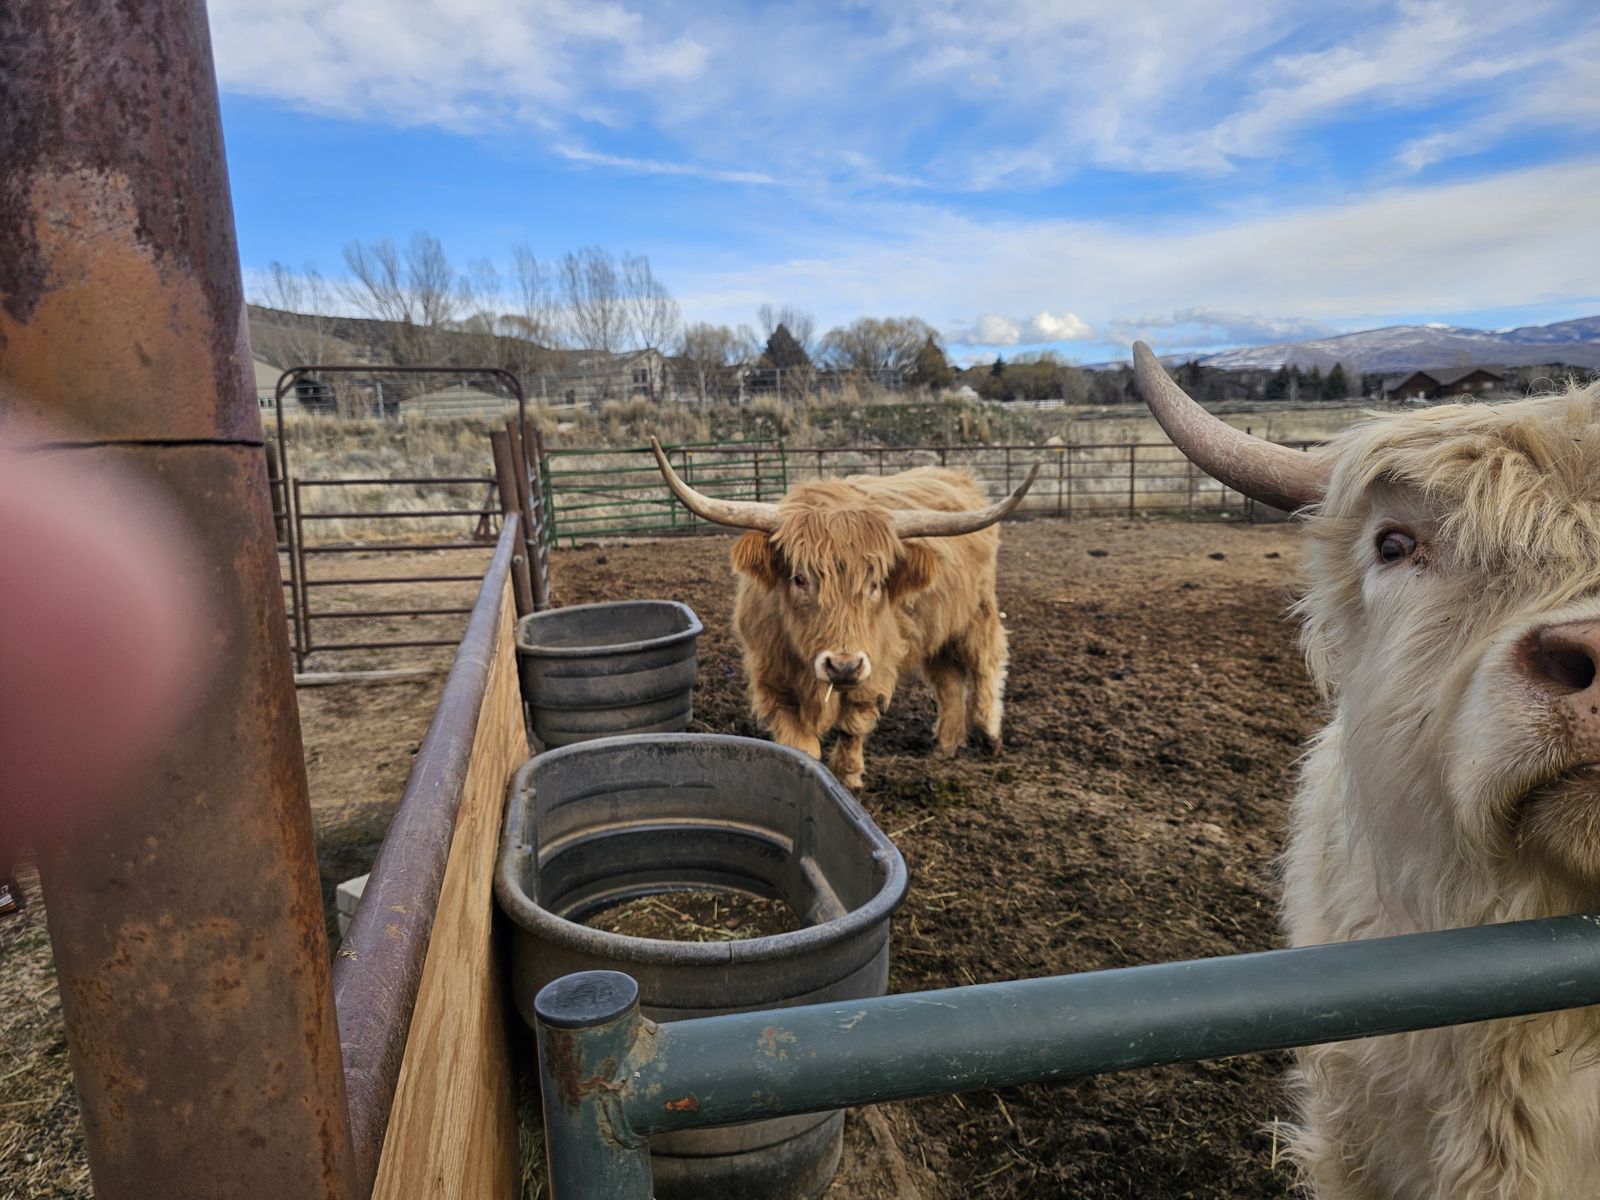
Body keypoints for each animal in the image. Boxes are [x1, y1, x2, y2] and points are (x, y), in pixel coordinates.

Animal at [648, 438, 1038, 790]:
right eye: (799, 578)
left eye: (876, 583)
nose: (843, 666)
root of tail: (959, 479)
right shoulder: (771, 676)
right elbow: (800, 743)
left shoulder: (876, 664)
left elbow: (853, 725)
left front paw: (849, 777)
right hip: (937, 625)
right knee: (949, 679)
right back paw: (947, 743)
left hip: (976, 611)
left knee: (986, 661)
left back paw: (989, 733)